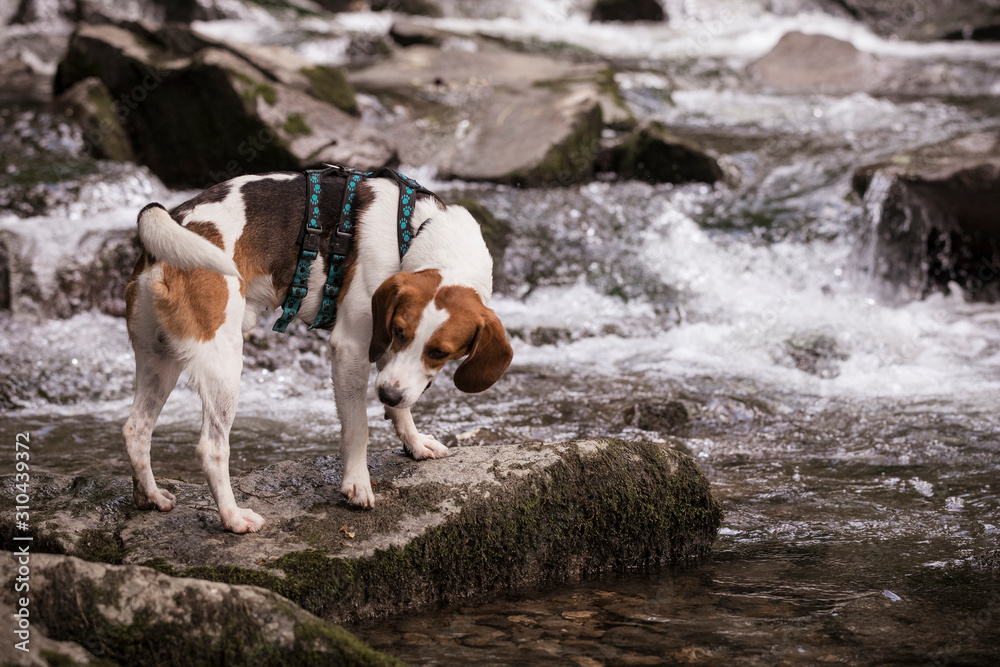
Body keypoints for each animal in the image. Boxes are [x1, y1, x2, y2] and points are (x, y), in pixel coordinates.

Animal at [124, 170, 512, 536]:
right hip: (224, 362)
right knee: (211, 448)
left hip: (160, 359)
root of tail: (175, 221)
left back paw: (150, 497)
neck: (414, 232)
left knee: (136, 430)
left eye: (439, 352)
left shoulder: (385, 348)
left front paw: (414, 442)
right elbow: (358, 427)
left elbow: (401, 405)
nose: (387, 394)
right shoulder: (352, 348)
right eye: (402, 332)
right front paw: (357, 483)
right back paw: (233, 517)